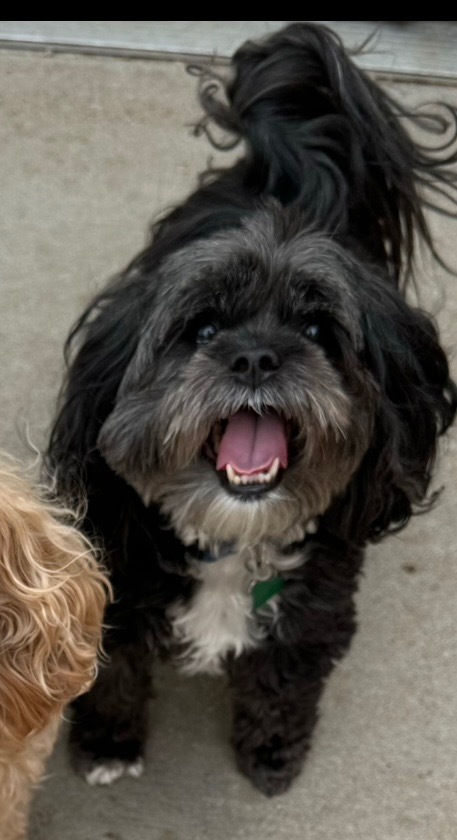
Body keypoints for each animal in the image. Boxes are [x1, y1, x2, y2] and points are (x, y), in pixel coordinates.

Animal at [47, 21, 456, 796]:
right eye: (204, 329)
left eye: (318, 331)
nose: (258, 357)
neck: (233, 541)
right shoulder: (115, 590)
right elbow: (114, 678)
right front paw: (108, 745)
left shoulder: (312, 612)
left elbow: (281, 687)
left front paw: (270, 751)